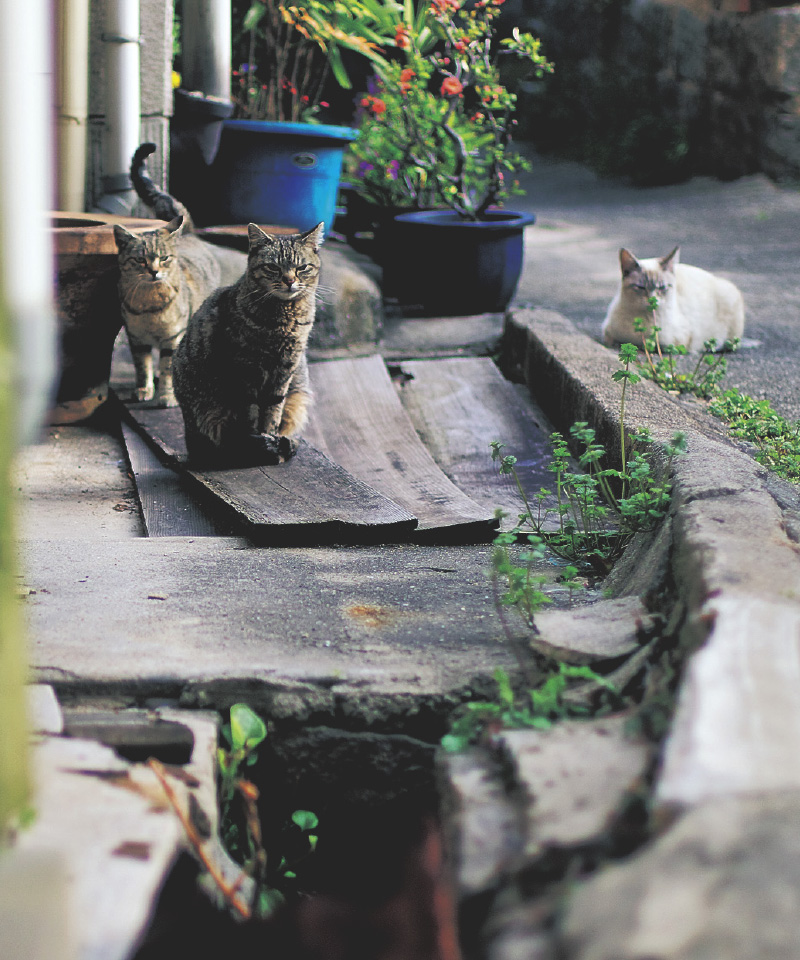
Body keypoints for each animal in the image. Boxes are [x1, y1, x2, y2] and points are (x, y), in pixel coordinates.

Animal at [112, 142, 244, 404]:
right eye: (140, 260)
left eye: (164, 259)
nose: (154, 272)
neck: (148, 307)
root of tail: (189, 233)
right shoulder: (136, 338)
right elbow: (142, 366)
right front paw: (144, 389)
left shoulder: (173, 338)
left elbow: (166, 368)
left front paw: (166, 395)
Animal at [173, 222, 324, 468]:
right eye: (272, 267)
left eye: (302, 268)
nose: (289, 281)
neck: (283, 319)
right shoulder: (245, 370)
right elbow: (251, 413)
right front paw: (258, 441)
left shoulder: (284, 370)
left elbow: (273, 411)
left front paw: (269, 437)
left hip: (298, 395)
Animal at [604, 248, 748, 352]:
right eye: (641, 287)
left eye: (662, 287)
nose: (652, 300)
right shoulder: (607, 332)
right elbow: (615, 341)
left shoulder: (676, 341)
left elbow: (655, 346)